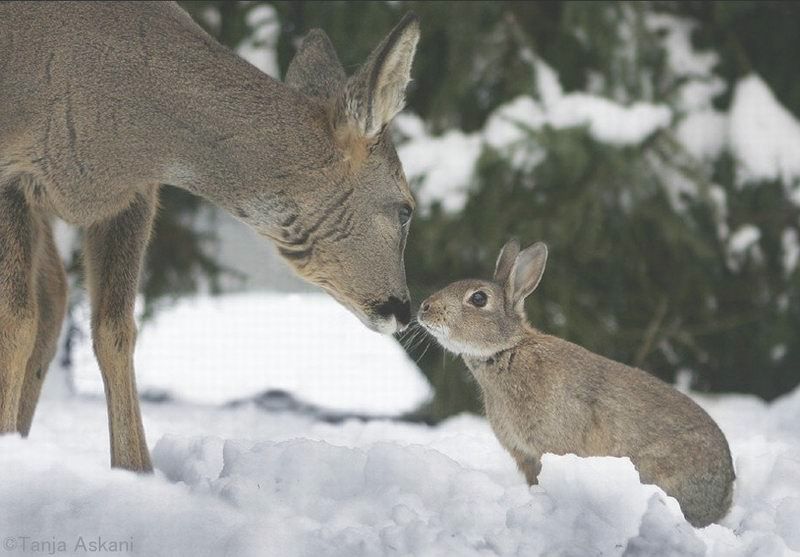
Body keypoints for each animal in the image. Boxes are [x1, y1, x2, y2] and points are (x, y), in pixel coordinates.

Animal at [0, 0, 422, 472]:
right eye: (406, 208)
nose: (403, 309)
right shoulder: (11, 173)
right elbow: (15, 321)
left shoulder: (133, 196)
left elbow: (115, 330)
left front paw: (136, 471)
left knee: (54, 294)